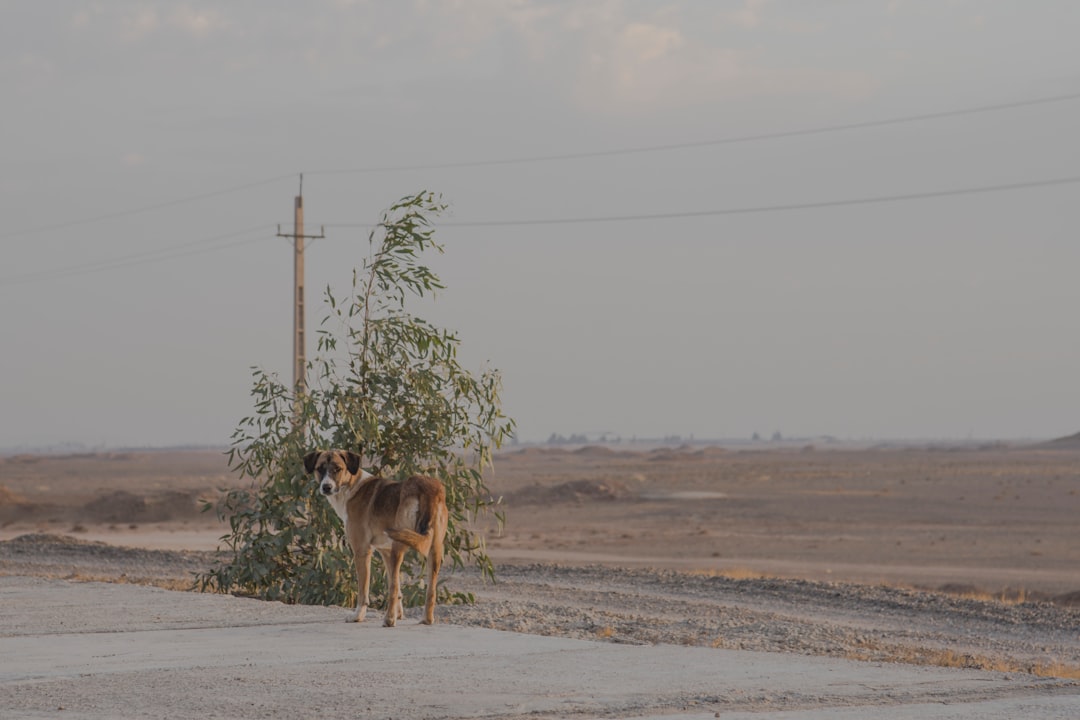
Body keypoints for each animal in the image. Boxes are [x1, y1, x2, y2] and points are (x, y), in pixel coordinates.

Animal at [306, 446, 449, 626]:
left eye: (337, 469)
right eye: (320, 469)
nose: (326, 487)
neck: (351, 486)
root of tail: (428, 488)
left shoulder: (362, 551)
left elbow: (364, 591)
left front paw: (358, 616)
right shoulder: (385, 552)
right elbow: (398, 587)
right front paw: (399, 614)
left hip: (399, 547)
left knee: (393, 588)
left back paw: (388, 620)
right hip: (434, 549)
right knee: (430, 590)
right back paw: (426, 619)